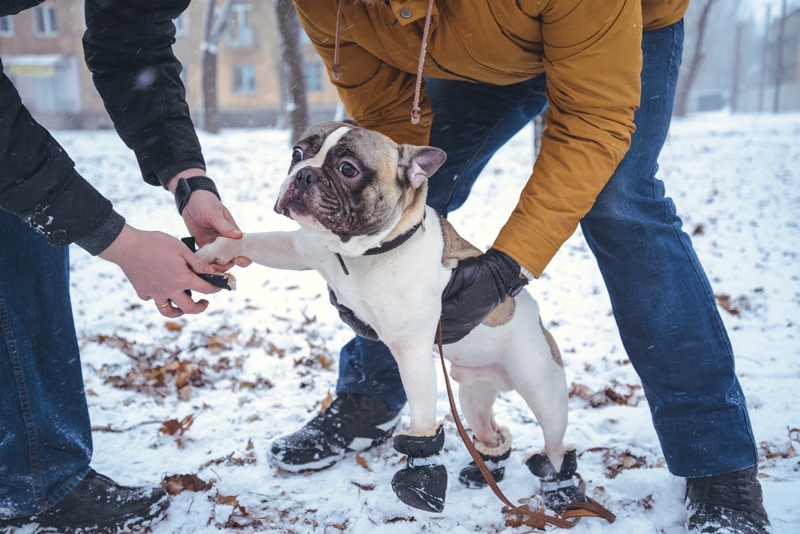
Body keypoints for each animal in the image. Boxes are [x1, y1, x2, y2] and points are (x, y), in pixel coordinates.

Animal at [200, 121, 576, 516]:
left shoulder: (412, 351)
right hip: (473, 395)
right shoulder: (303, 249)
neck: (365, 251)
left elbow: (422, 416)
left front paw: (422, 473)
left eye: (348, 169)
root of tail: (539, 323)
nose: (304, 173)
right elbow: (254, 241)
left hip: (542, 390)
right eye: (297, 153)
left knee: (554, 443)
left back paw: (560, 487)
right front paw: (212, 252)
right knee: (489, 430)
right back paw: (485, 470)